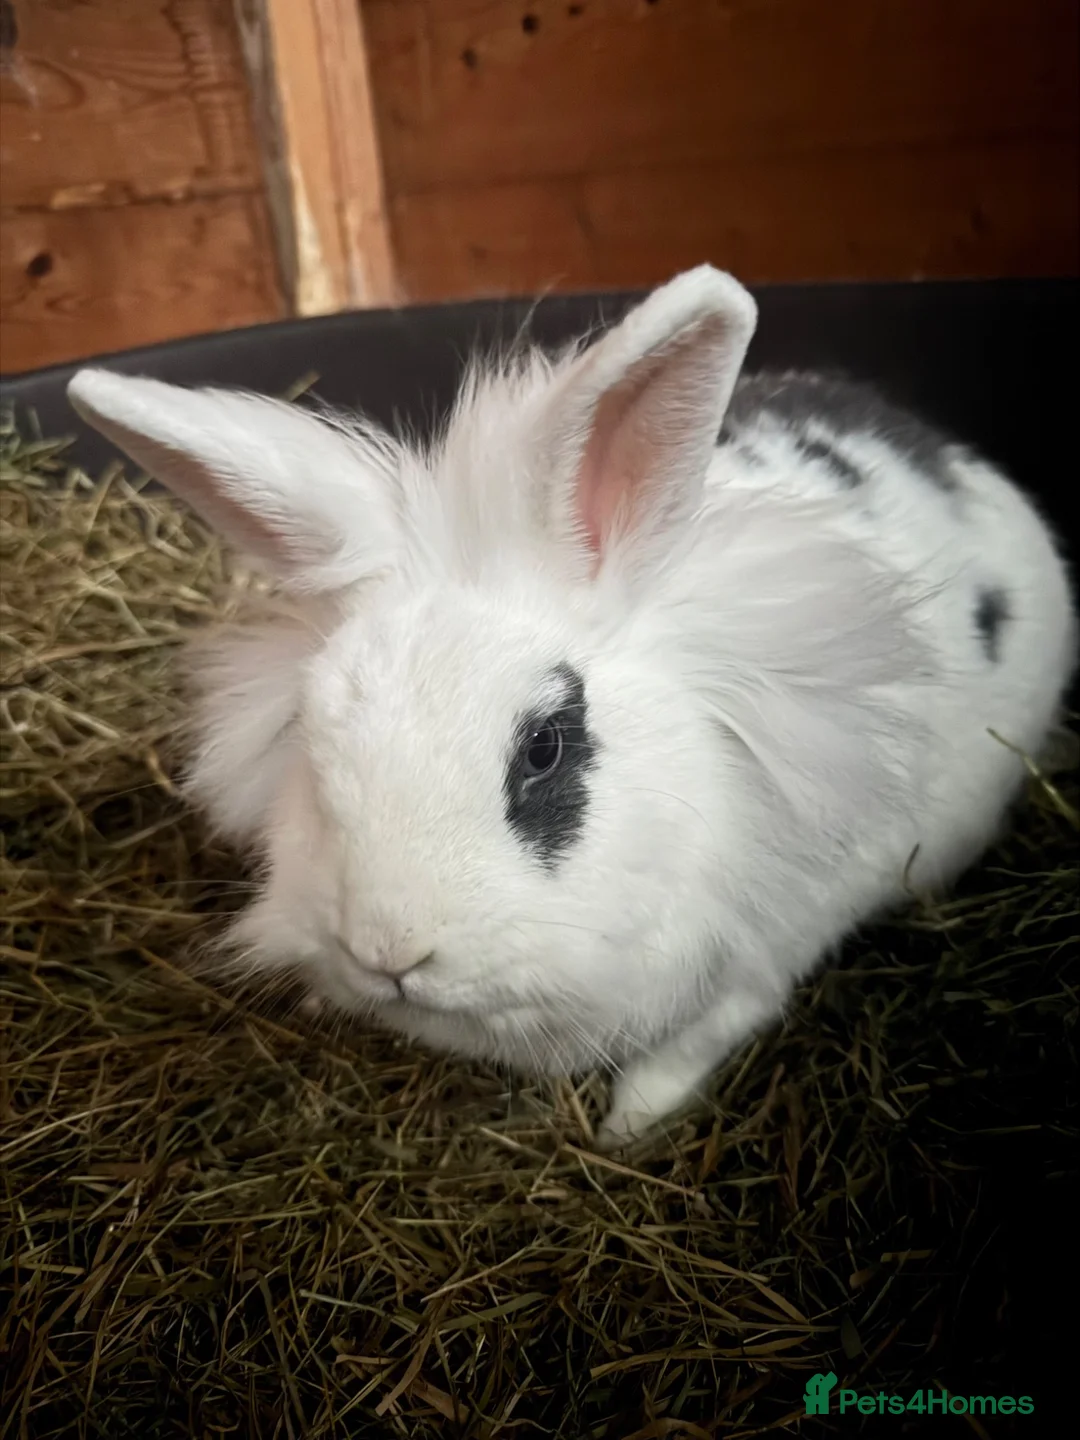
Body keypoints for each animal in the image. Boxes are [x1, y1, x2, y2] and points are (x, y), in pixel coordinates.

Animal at [67, 267, 1077, 1151]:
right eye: (311, 745)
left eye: (545, 748)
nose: (390, 952)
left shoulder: (768, 945)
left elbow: (694, 1044)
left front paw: (626, 1132)